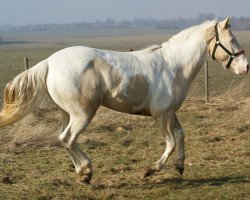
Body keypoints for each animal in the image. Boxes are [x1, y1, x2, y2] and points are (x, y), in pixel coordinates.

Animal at [0, 18, 248, 184]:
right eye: (231, 39)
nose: (245, 66)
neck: (173, 65)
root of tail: (50, 62)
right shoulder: (161, 114)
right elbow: (170, 142)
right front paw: (150, 170)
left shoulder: (170, 112)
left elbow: (180, 135)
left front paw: (180, 167)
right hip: (83, 113)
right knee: (67, 138)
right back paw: (86, 172)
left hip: (67, 112)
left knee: (62, 137)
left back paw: (82, 173)